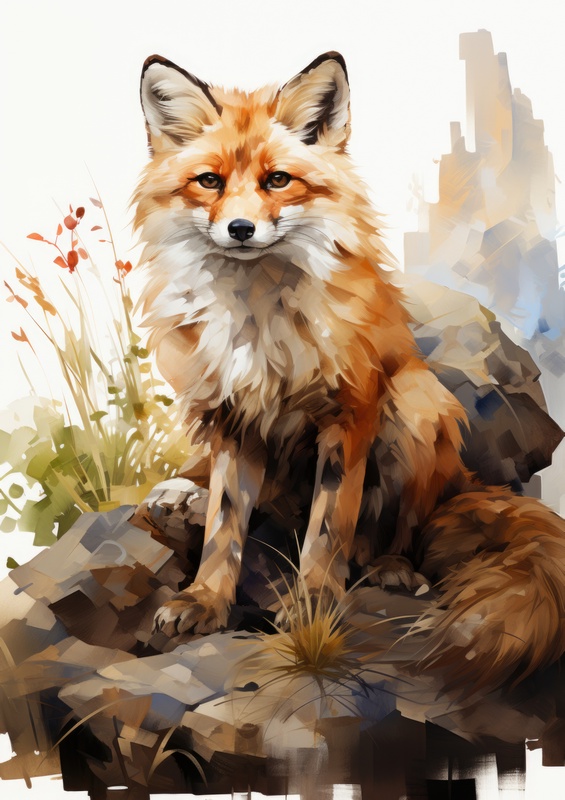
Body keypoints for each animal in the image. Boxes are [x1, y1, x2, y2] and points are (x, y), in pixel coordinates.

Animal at [134, 51, 565, 689]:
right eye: (209, 181)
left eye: (278, 181)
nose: (240, 230)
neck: (260, 321)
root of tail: (464, 480)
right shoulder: (234, 420)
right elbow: (224, 529)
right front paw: (206, 599)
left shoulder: (350, 415)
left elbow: (327, 531)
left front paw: (314, 601)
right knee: (245, 505)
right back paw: (182, 497)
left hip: (416, 407)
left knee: (397, 534)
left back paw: (391, 566)